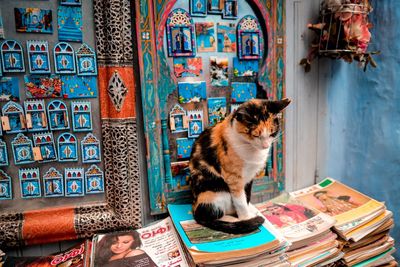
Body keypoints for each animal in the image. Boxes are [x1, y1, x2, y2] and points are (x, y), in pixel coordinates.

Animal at [189, 98, 290, 234]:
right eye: (256, 135)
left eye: (272, 133)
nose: (265, 146)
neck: (250, 149)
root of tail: (194, 208)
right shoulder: (233, 178)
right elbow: (240, 201)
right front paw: (246, 218)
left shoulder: (250, 177)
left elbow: (247, 197)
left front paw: (249, 211)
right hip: (216, 191)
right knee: (209, 215)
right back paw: (234, 220)